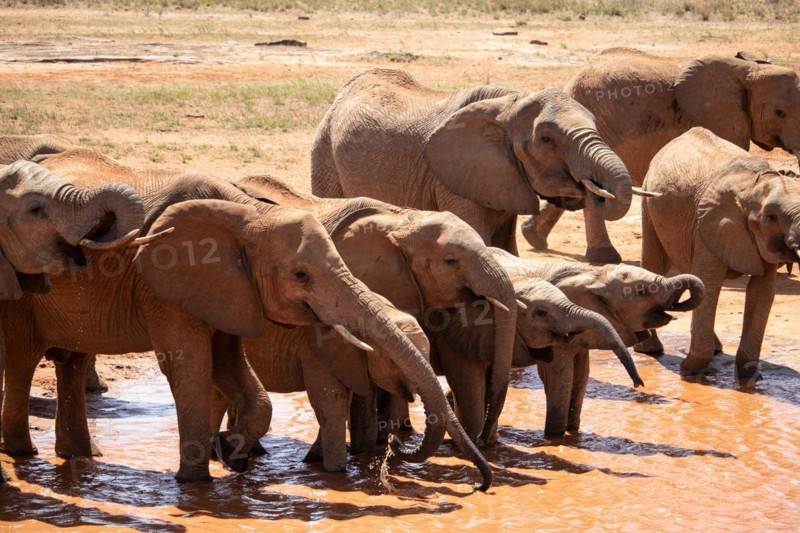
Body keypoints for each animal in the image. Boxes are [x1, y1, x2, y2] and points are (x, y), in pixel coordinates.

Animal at [310, 68, 634, 258]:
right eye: (545, 139)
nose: (595, 187)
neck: (509, 105)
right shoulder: (452, 181)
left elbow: (506, 246)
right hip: (323, 150)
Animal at [492, 248, 704, 435]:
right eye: (641, 291)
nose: (639, 384)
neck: (592, 273)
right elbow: (560, 377)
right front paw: (556, 438)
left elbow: (582, 375)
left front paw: (573, 432)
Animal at [640, 127, 800, 380]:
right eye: (771, 217)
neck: (753, 185)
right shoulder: (710, 222)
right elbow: (709, 283)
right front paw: (689, 372)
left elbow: (762, 292)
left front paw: (749, 377)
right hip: (649, 199)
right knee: (654, 262)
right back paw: (650, 350)